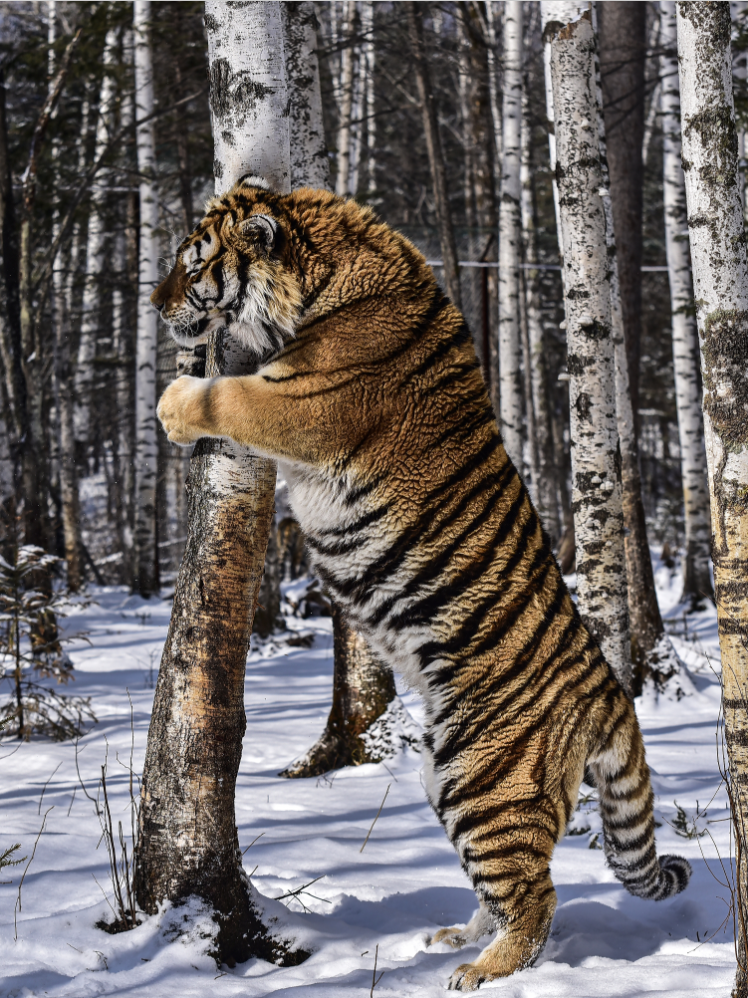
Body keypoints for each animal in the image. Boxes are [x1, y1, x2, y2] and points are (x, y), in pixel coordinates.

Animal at [155, 178, 692, 992]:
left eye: (192, 264)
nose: (155, 304)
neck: (334, 276)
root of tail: (609, 689)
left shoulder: (299, 403)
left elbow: (224, 396)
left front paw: (173, 400)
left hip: (486, 780)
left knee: (536, 894)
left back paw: (482, 970)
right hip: (448, 775)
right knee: (504, 887)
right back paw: (454, 938)